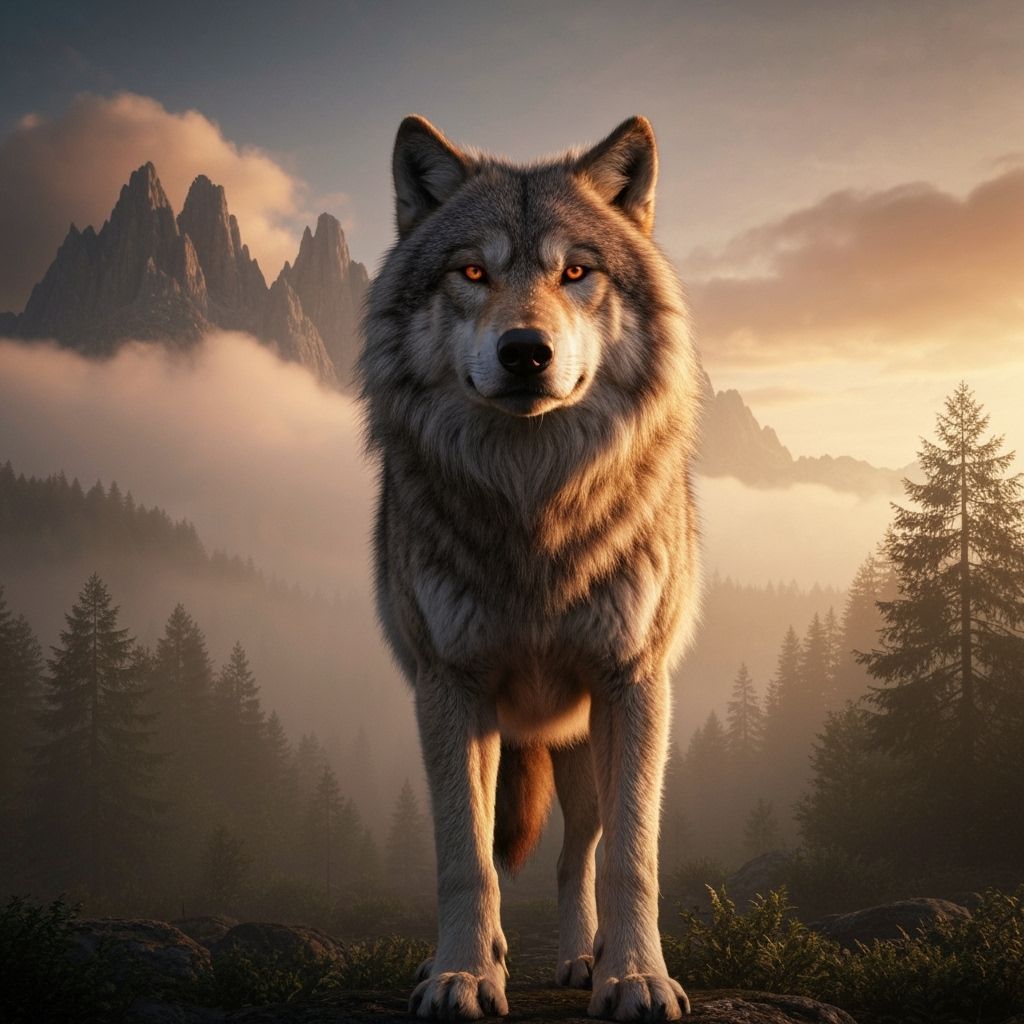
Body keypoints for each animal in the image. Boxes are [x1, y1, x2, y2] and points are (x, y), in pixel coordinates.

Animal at [359, 114, 702, 1022]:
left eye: (574, 271)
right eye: (472, 271)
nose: (524, 351)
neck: (534, 504)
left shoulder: (634, 682)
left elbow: (631, 857)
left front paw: (637, 977)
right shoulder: (450, 689)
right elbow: (465, 857)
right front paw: (462, 975)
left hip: (583, 747)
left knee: (578, 853)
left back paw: (587, 958)